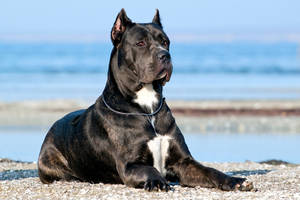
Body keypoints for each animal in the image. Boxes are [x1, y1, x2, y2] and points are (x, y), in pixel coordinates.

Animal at [38, 8, 253, 191]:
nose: (165, 56)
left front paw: (234, 181)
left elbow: (209, 170)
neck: (148, 107)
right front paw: (157, 181)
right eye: (140, 43)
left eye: (165, 42)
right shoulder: (130, 165)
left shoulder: (184, 162)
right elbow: (150, 169)